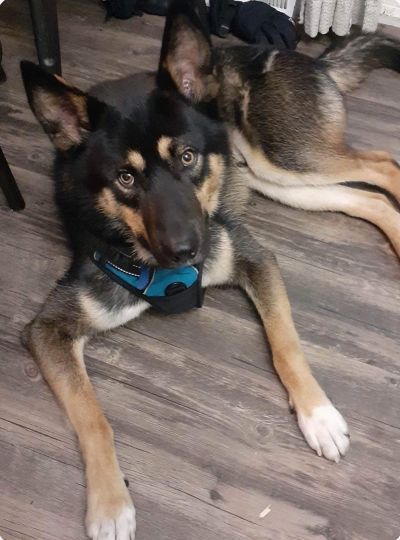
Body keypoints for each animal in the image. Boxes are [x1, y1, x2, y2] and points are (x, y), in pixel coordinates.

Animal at [20, 1, 400, 538]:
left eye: (187, 156)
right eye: (125, 178)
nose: (186, 250)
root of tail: (310, 59)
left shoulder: (255, 259)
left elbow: (286, 345)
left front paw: (319, 416)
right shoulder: (49, 329)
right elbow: (94, 418)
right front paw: (110, 505)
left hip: (286, 159)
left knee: (384, 165)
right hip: (283, 182)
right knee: (369, 199)